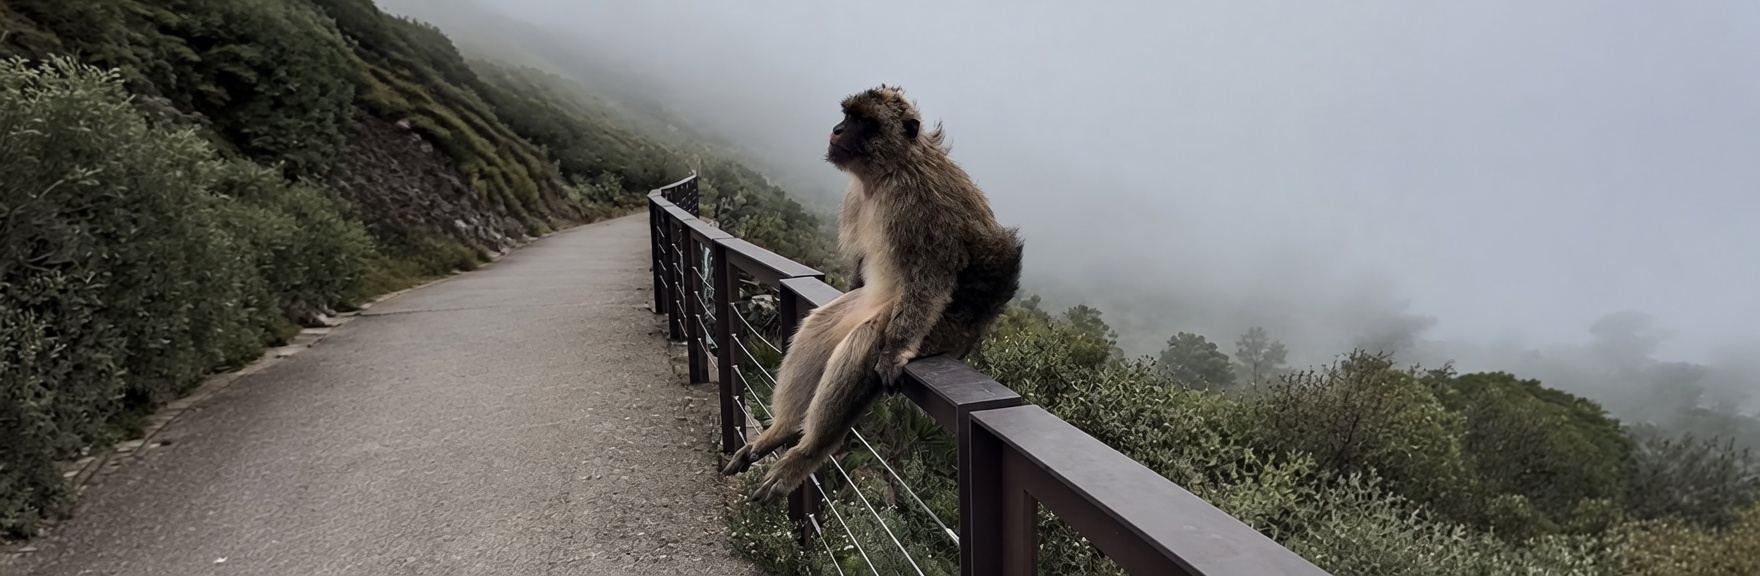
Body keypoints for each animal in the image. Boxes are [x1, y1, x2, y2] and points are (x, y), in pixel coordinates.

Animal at [721, 85, 1024, 505]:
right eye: (848, 116)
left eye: (863, 122)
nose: (836, 130)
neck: (886, 174)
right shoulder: (858, 198)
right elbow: (863, 265)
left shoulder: (921, 202)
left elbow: (933, 272)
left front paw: (895, 350)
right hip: (864, 303)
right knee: (820, 328)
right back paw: (781, 431)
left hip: (942, 331)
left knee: (867, 339)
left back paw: (807, 451)